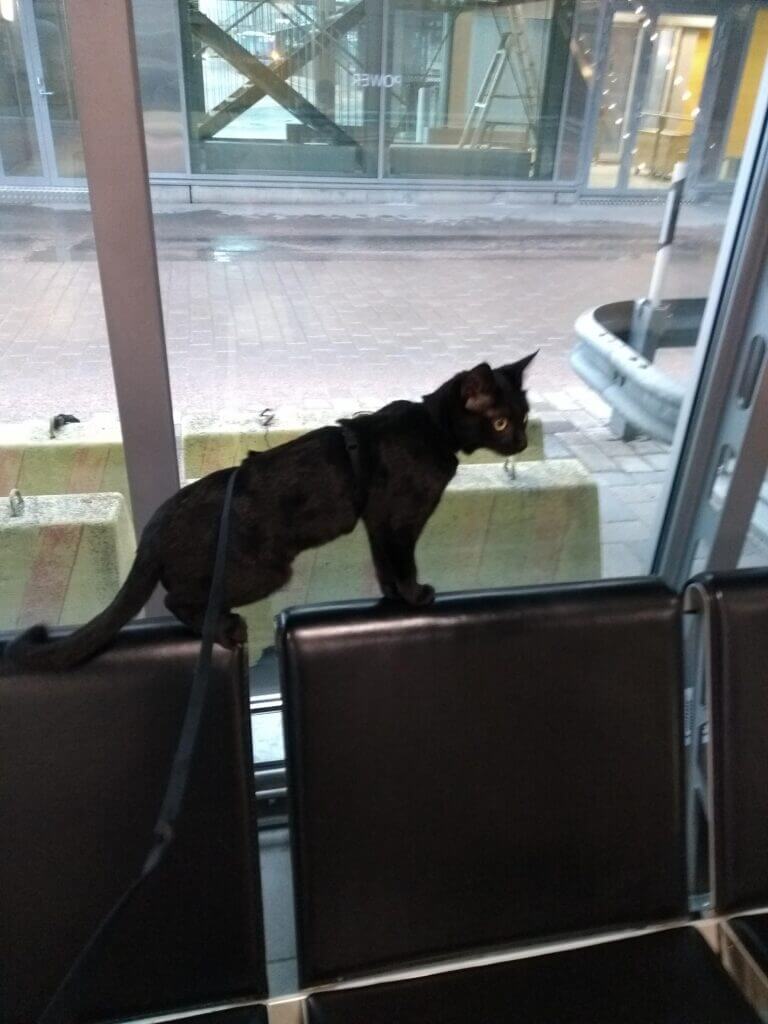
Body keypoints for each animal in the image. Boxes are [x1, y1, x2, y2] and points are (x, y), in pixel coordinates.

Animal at [6, 356, 536, 667]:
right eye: (500, 421)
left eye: (525, 416)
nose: (523, 442)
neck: (431, 428)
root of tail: (160, 516)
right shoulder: (399, 521)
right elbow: (402, 563)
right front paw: (415, 596)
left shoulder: (379, 523)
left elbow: (385, 564)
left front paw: (392, 597)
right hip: (264, 570)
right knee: (179, 597)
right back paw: (225, 627)